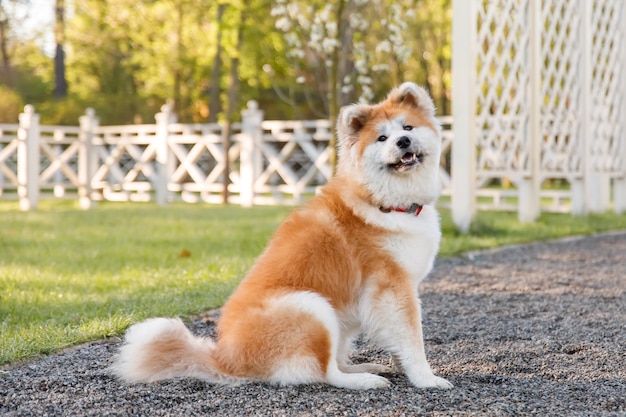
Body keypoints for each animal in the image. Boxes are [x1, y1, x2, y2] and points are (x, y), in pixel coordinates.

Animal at [112, 83, 450, 388]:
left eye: (408, 127)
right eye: (382, 138)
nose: (403, 141)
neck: (385, 200)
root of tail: (227, 360)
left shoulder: (396, 291)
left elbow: (399, 341)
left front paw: (405, 368)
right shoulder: (392, 286)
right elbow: (412, 339)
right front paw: (426, 379)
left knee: (333, 361)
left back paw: (366, 367)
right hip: (311, 306)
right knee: (325, 372)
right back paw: (364, 380)